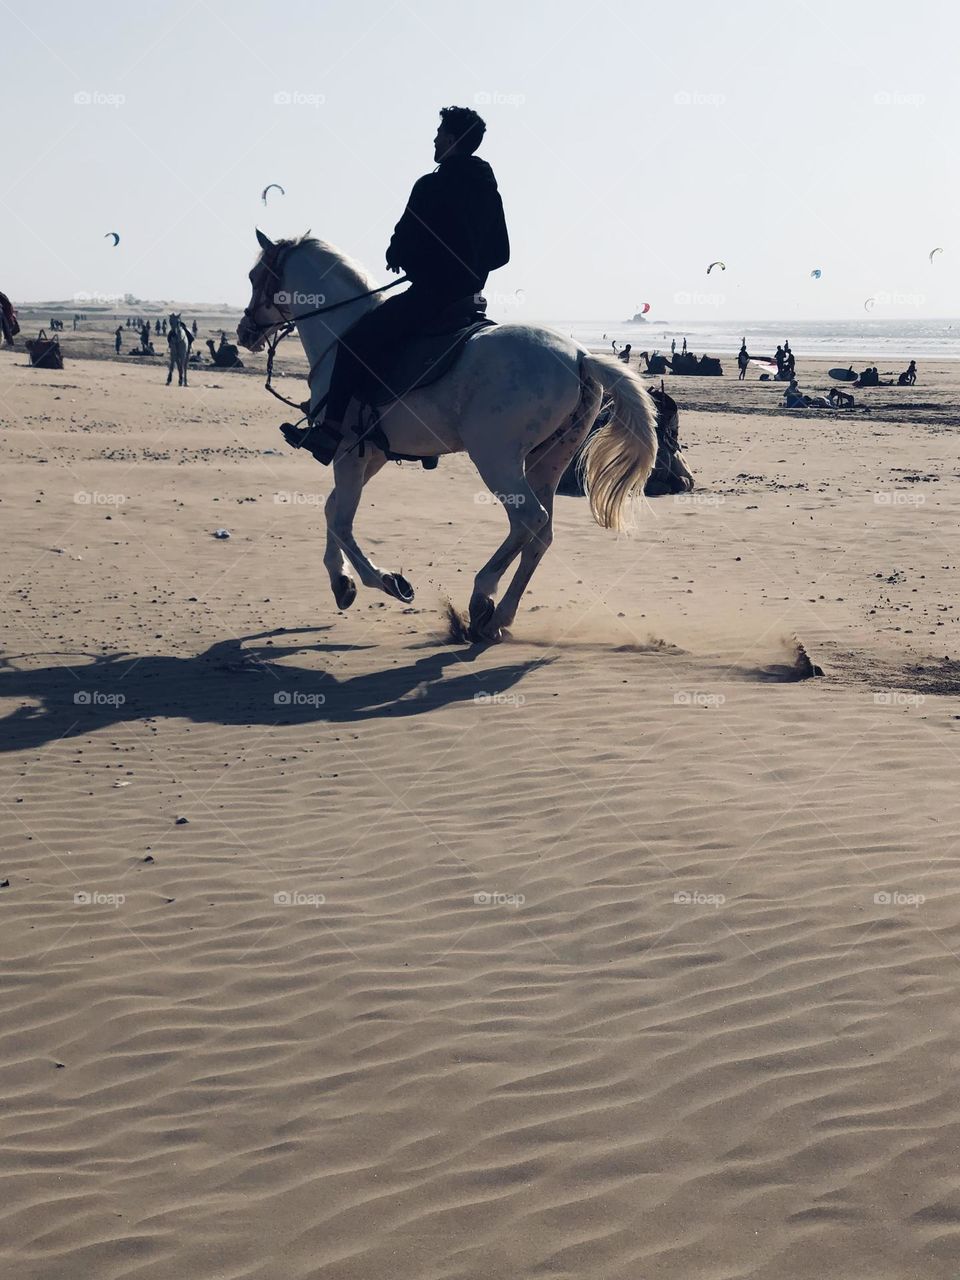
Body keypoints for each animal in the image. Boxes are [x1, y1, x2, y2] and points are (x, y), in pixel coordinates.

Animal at [237, 231, 658, 643]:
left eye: (255, 278)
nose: (244, 332)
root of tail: (579, 357)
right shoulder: (371, 455)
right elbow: (331, 509)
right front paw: (341, 582)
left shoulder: (347, 453)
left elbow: (341, 520)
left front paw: (385, 580)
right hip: (548, 460)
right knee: (542, 534)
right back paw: (499, 617)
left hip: (496, 458)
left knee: (528, 519)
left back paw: (481, 597)